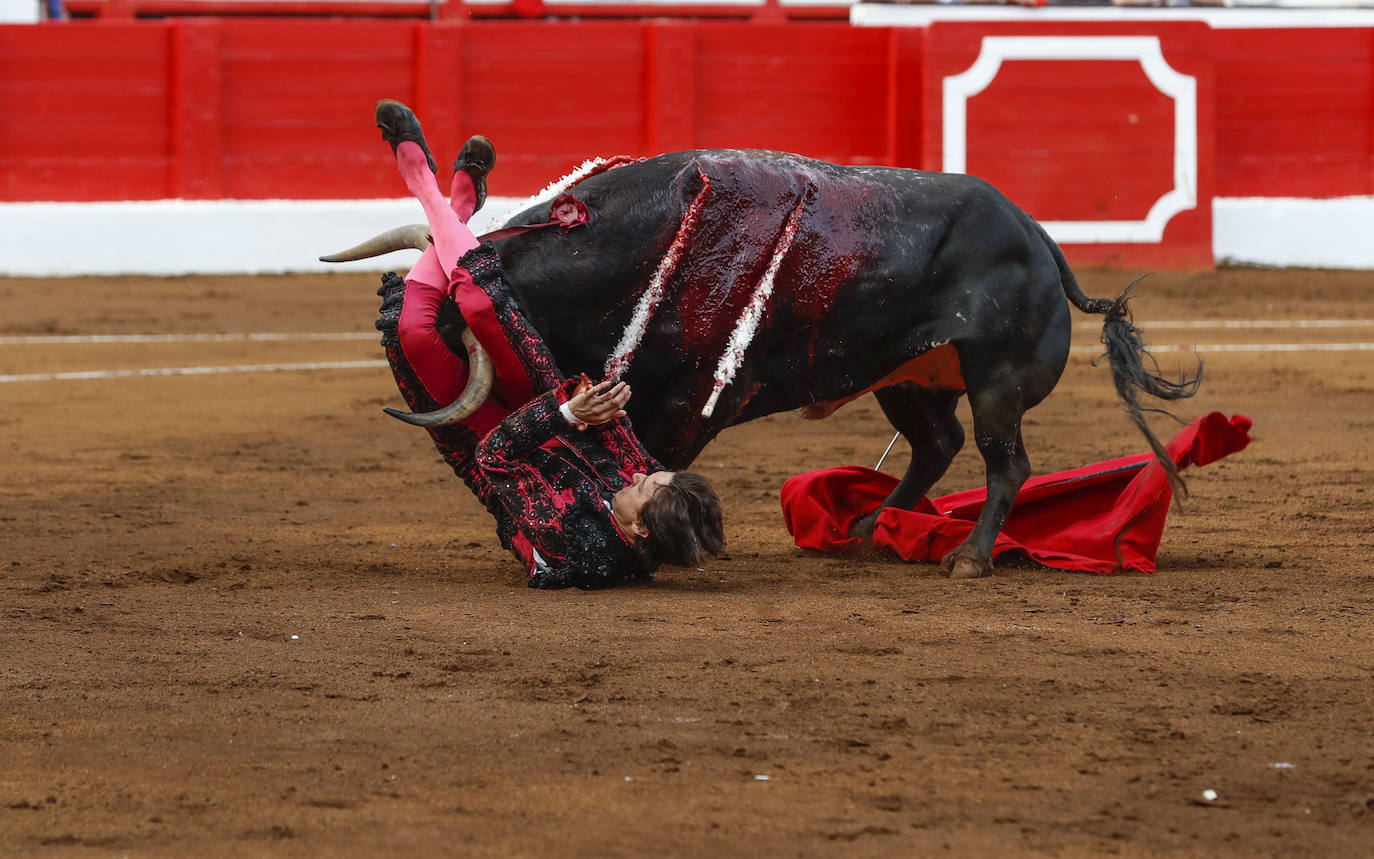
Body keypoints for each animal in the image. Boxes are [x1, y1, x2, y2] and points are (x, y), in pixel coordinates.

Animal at [370, 149, 1198, 577]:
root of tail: (1038, 237)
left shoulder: (686, 401)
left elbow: (654, 450)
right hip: (906, 374)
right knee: (939, 443)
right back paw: (870, 522)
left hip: (993, 376)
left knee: (1005, 461)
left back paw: (968, 556)